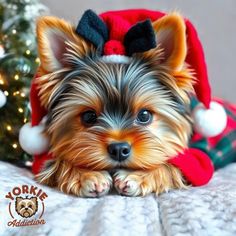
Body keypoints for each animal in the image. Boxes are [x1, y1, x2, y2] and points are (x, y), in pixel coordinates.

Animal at [24, 9, 235, 196]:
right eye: (89, 116)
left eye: (144, 115)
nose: (119, 149)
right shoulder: (42, 160)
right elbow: (57, 161)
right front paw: (87, 176)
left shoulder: (197, 161)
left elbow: (168, 162)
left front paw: (137, 177)